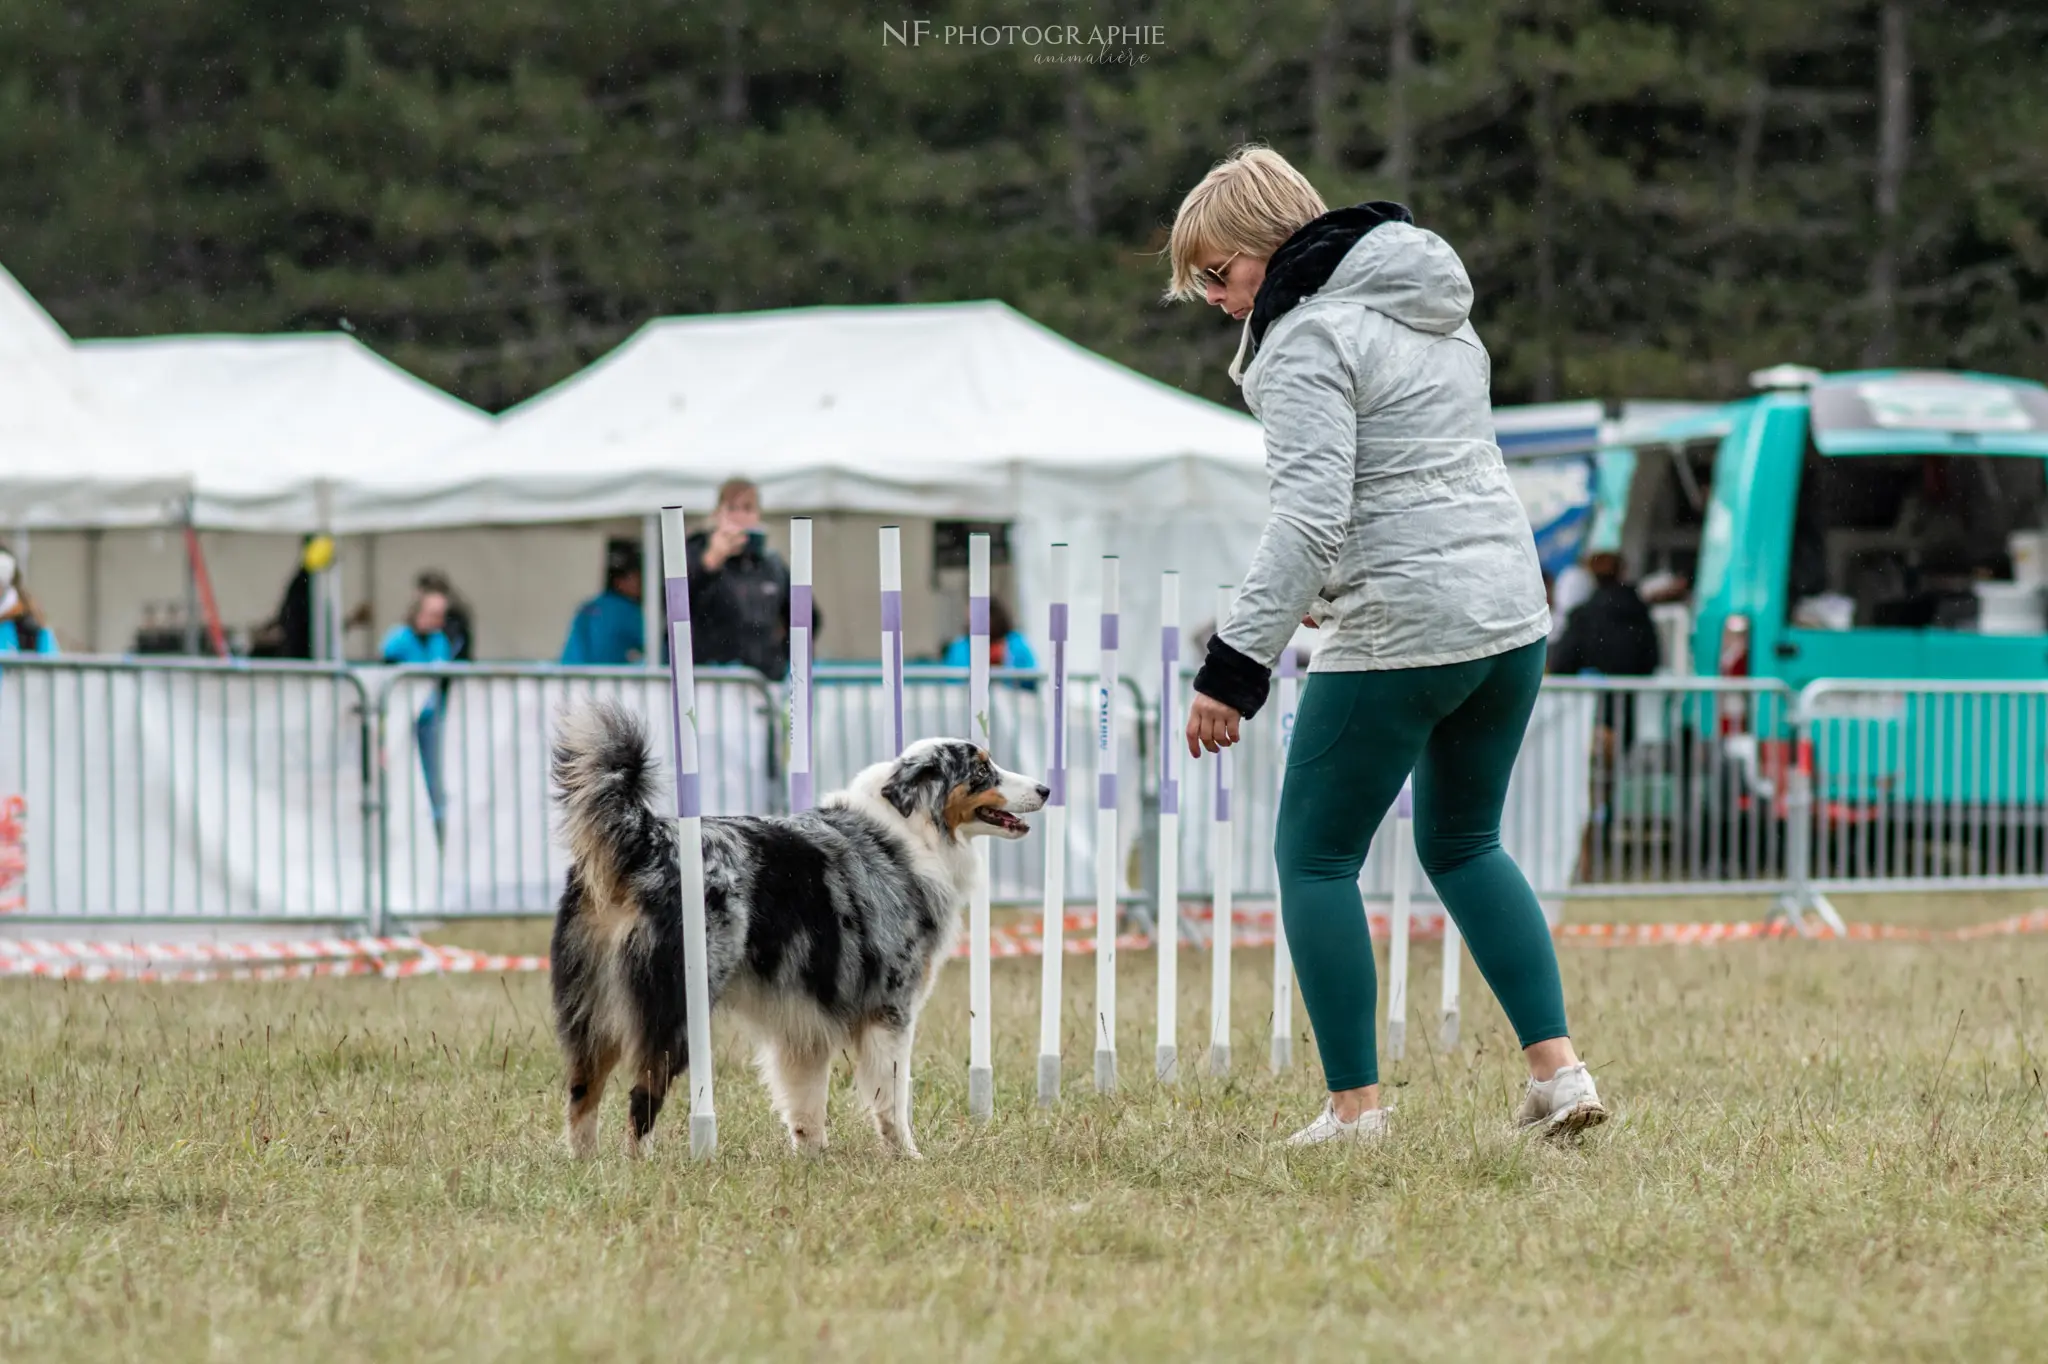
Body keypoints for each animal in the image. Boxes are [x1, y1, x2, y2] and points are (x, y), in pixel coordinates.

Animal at [548, 700, 1040, 1155]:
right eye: (982, 769)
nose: (1045, 787)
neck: (913, 830)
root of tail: (646, 839)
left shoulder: (802, 1019)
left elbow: (806, 1101)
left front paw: (813, 1158)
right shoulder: (891, 1009)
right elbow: (893, 1097)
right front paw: (907, 1156)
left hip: (592, 1010)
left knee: (582, 1091)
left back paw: (588, 1167)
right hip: (676, 1007)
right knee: (641, 1095)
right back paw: (642, 1165)